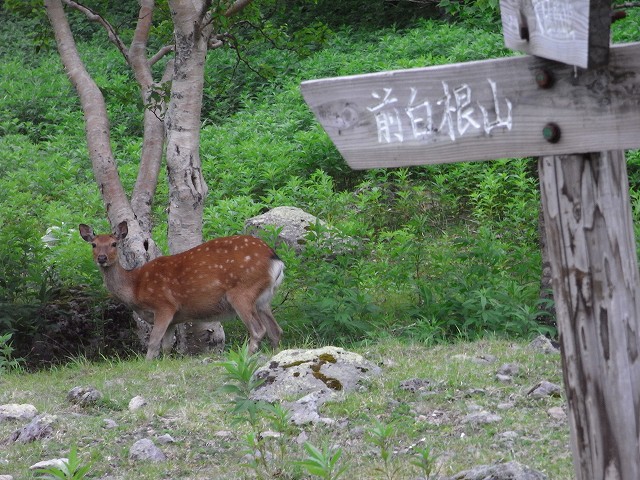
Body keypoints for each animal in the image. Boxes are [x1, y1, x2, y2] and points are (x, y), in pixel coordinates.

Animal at [79, 221, 284, 360]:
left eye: (114, 244)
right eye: (94, 244)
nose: (102, 258)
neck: (135, 288)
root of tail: (276, 259)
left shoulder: (164, 305)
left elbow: (154, 342)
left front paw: (148, 363)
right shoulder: (174, 318)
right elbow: (167, 346)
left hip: (242, 292)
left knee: (258, 329)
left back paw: (246, 357)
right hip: (263, 299)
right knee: (276, 330)